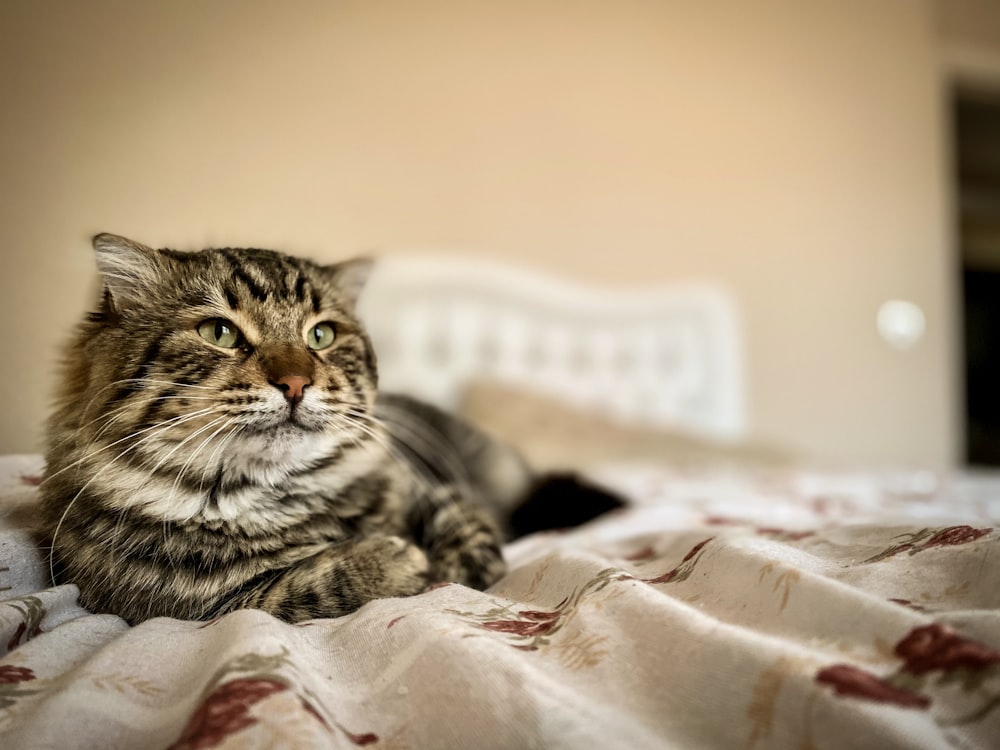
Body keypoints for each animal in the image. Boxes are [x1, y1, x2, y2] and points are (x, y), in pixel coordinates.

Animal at [41, 235, 624, 628]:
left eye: (321, 335)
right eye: (219, 332)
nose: (296, 383)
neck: (283, 494)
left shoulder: (433, 489)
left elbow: (473, 536)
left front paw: (451, 567)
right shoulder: (206, 607)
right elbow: (309, 584)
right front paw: (397, 560)